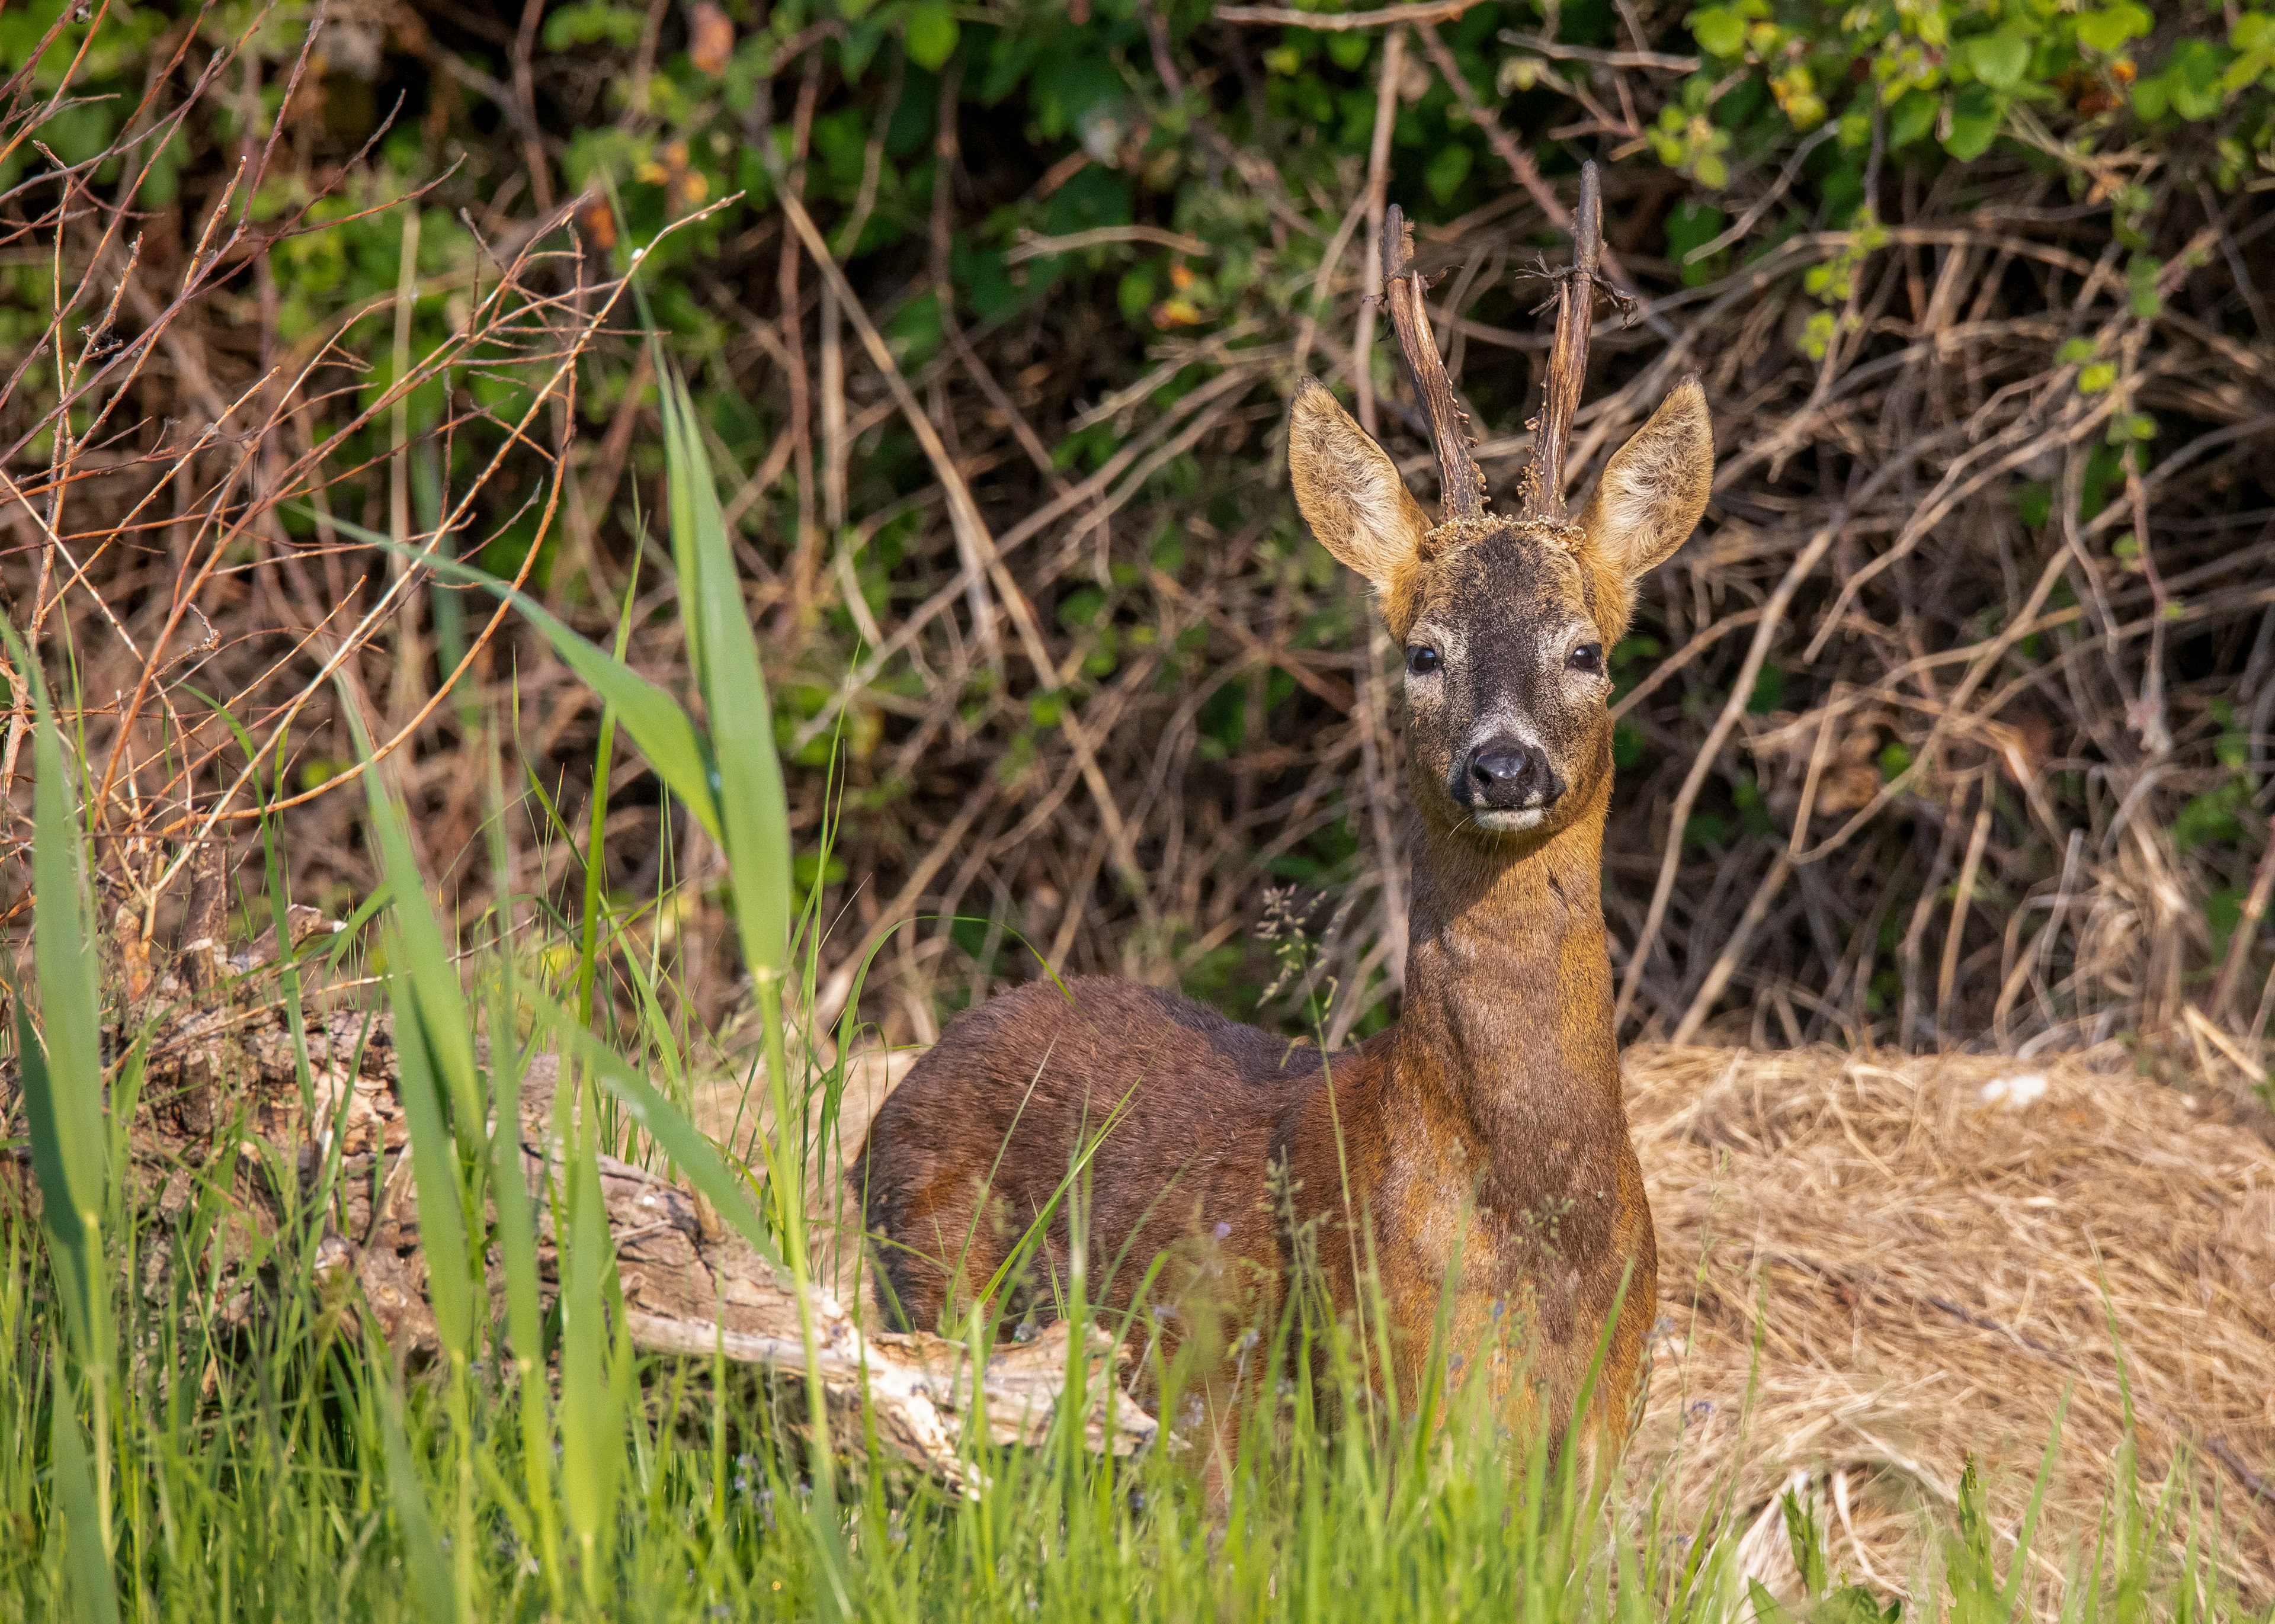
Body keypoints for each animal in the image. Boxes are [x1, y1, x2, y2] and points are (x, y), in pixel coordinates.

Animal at [853, 165, 1713, 1491]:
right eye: (1423, 652)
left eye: (1588, 650)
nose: (1502, 763)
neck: (1532, 1234)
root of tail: (904, 1084)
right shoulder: (1389, 1392)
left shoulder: (1599, 1427)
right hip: (935, 1282)